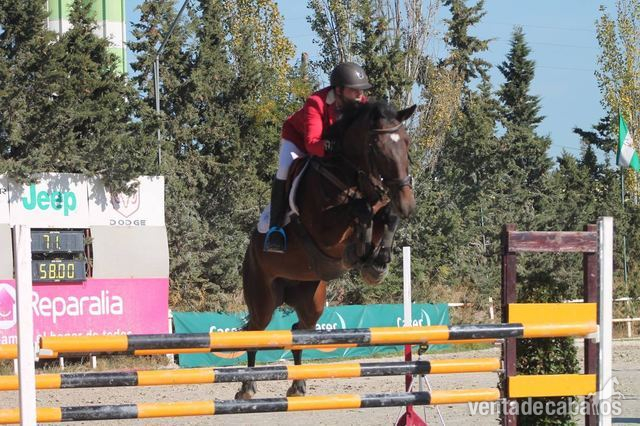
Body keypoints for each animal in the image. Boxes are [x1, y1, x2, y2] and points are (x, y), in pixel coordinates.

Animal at [235, 100, 417, 400]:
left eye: (406, 142)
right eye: (377, 147)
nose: (408, 204)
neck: (347, 176)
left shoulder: (380, 209)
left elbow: (386, 215)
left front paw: (377, 262)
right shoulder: (325, 229)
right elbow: (361, 210)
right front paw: (360, 252)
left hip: (312, 299)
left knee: (299, 330)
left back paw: (298, 386)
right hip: (262, 297)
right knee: (254, 331)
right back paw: (247, 387)